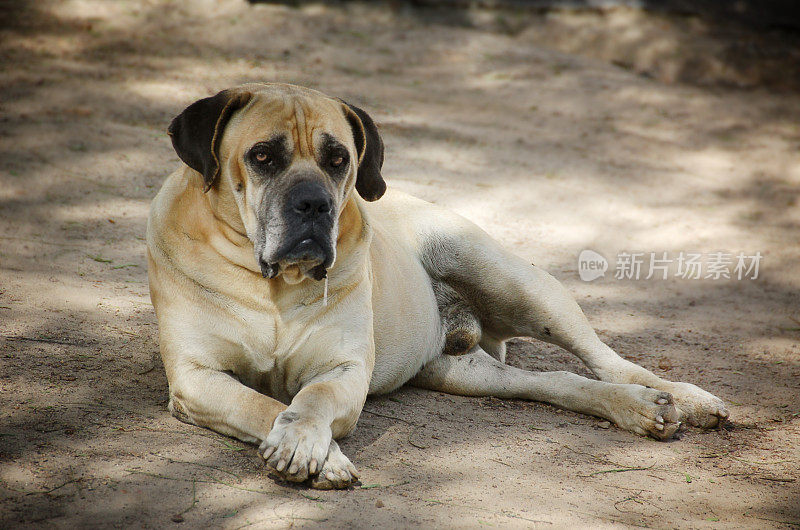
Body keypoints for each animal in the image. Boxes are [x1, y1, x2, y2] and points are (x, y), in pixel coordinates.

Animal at [147, 81, 728, 486]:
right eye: (262, 156)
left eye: (339, 160)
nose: (314, 203)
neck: (270, 288)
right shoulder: (197, 377)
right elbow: (261, 405)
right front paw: (322, 456)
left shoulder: (344, 370)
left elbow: (310, 400)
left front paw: (304, 442)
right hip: (467, 370)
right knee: (559, 382)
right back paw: (635, 407)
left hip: (509, 278)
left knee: (606, 359)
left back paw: (679, 399)